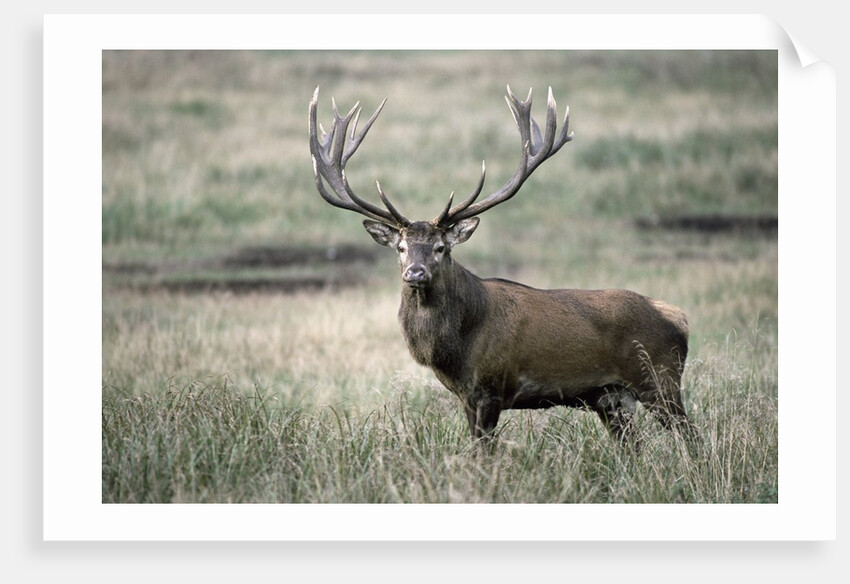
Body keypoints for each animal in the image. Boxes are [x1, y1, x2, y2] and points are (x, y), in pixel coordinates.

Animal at [308, 85, 695, 447]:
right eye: (401, 248)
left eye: (440, 247)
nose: (415, 273)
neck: (456, 348)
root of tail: (678, 317)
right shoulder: (466, 396)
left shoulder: (492, 387)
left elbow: (484, 453)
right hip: (611, 398)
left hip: (659, 379)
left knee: (691, 437)